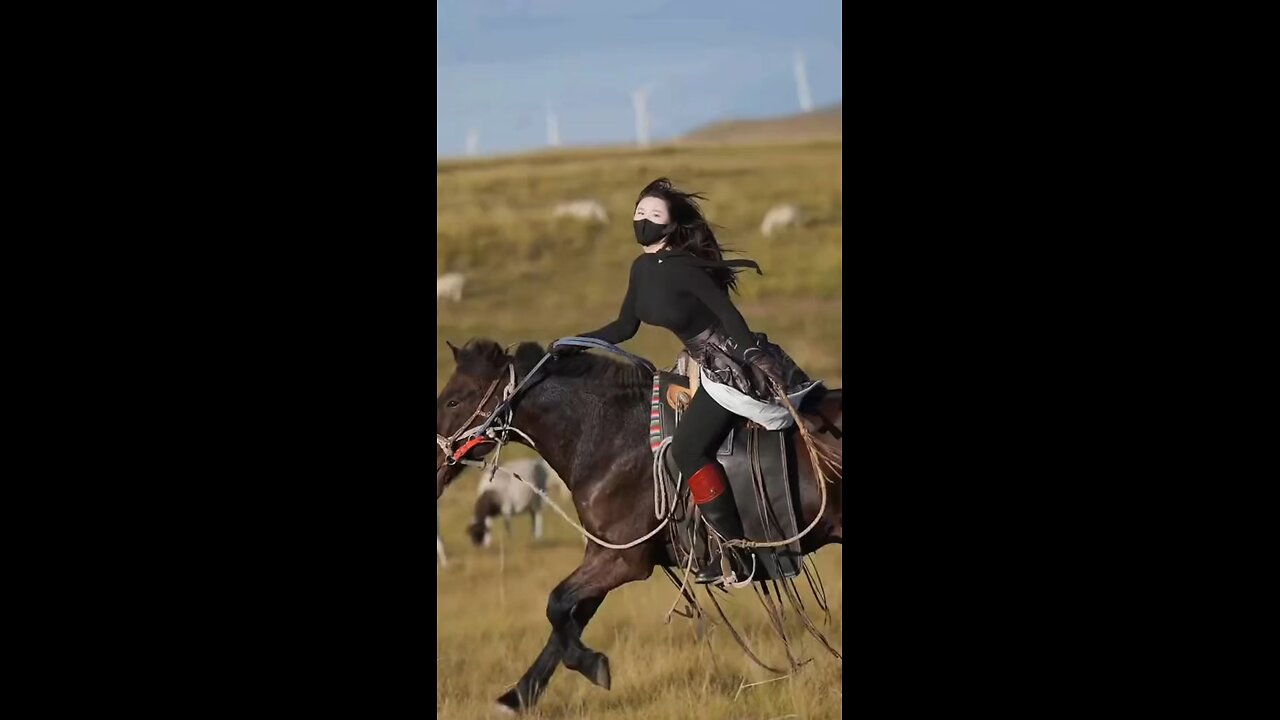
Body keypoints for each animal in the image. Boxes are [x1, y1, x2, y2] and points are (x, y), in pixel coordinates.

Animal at [435, 338, 844, 712]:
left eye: (454, 401)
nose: (436, 467)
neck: (608, 436)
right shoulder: (605, 552)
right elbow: (569, 619)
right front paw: (519, 696)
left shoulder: (623, 560)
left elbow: (557, 604)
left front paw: (590, 665)